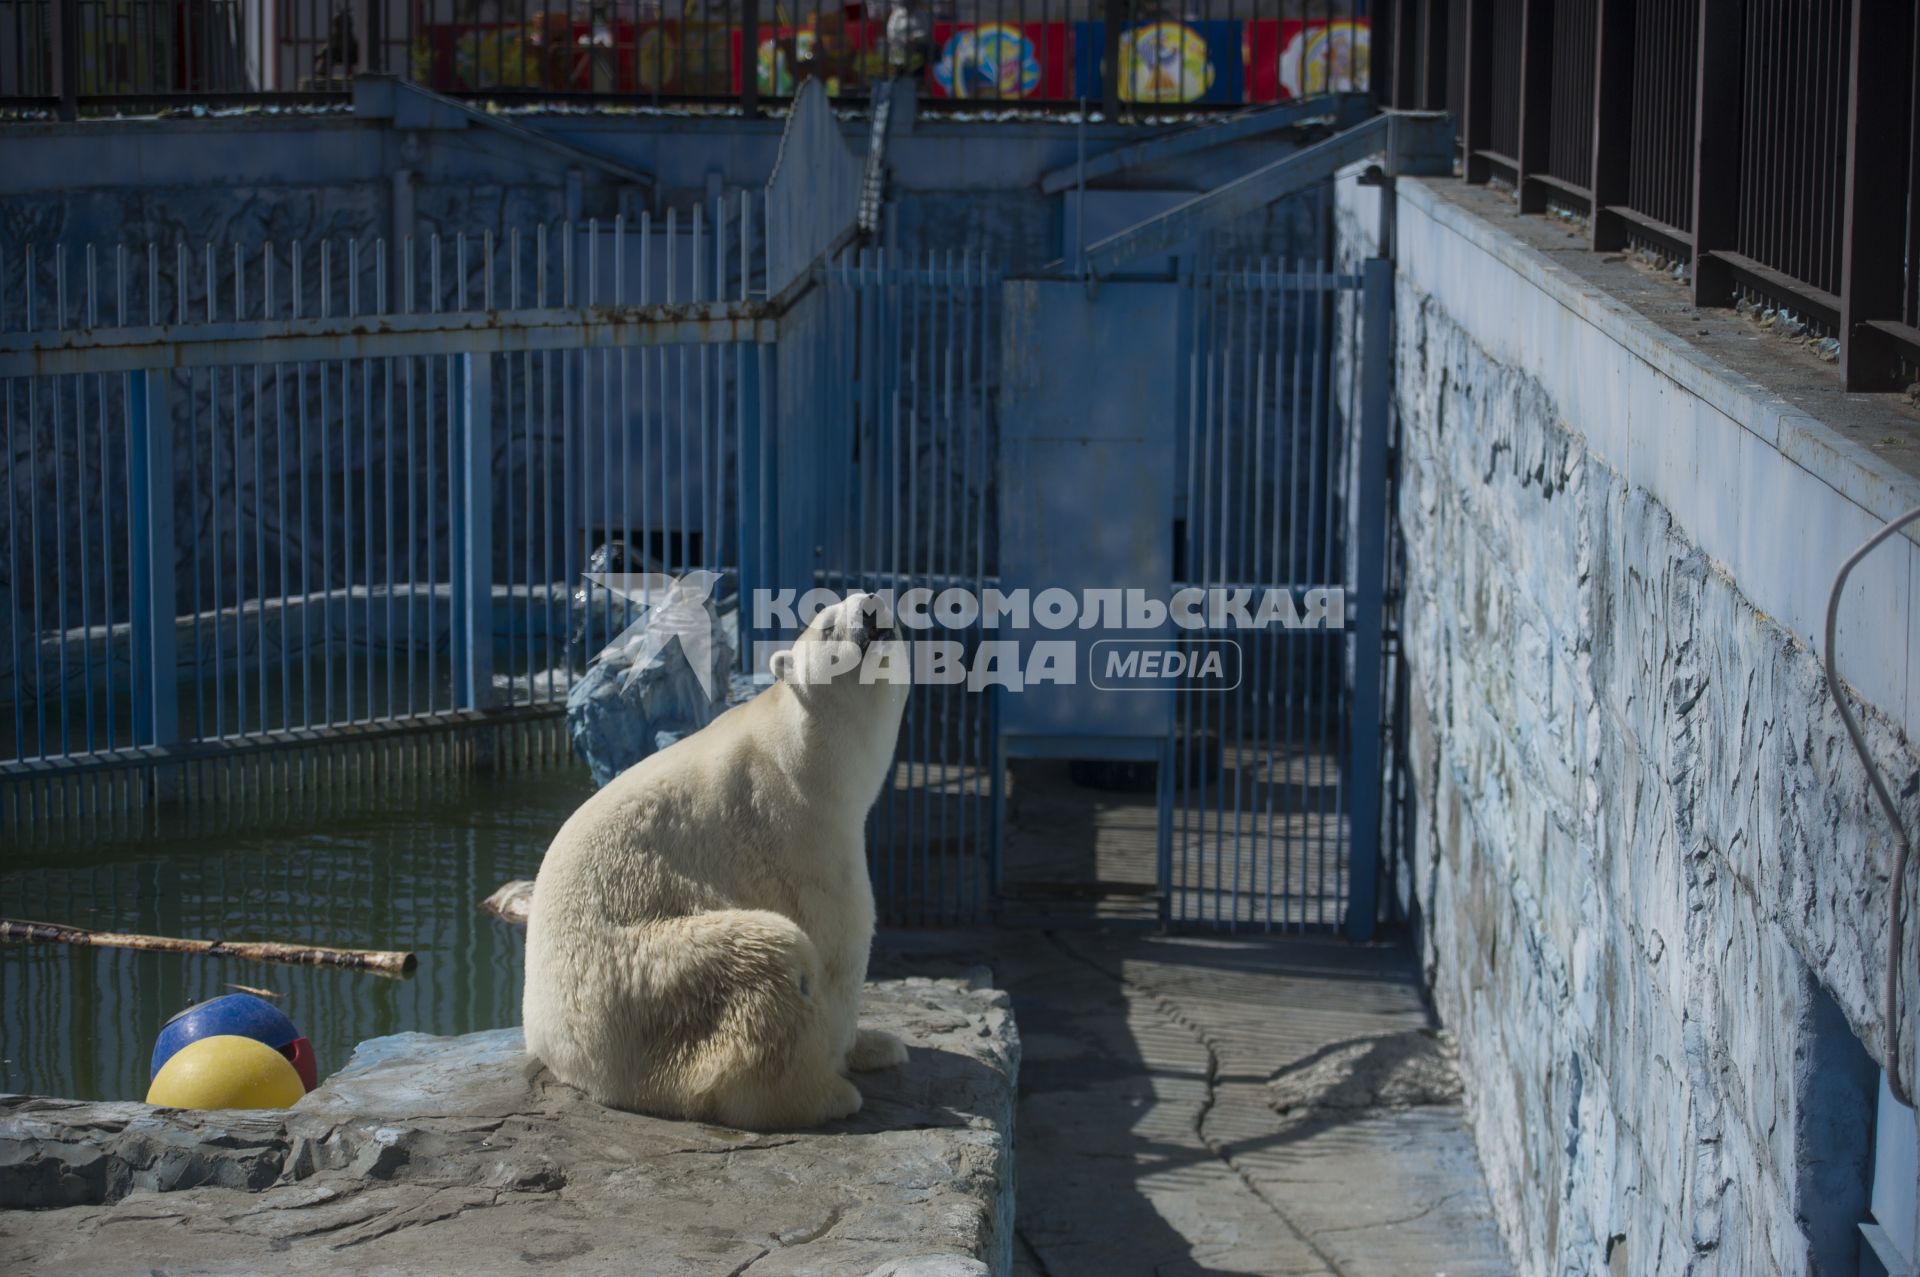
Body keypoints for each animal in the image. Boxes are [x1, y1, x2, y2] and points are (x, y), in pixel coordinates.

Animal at [526, 587, 913, 1129]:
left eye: (870, 597)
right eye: (828, 624)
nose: (871, 606)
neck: (802, 752)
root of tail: (552, 1045)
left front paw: (881, 1044)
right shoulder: (798, 828)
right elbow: (841, 939)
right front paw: (854, 1050)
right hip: (644, 983)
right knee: (769, 952)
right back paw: (826, 1096)